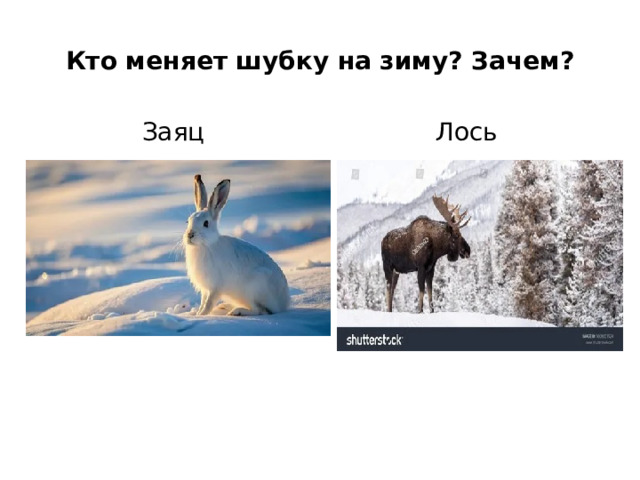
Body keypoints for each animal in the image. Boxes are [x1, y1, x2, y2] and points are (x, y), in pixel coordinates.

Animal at [183, 174, 291, 316]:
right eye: (188, 221)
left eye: (206, 223)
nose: (190, 235)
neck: (206, 245)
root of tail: (283, 304)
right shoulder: (205, 289)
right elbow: (203, 302)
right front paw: (196, 314)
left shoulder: (215, 288)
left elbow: (208, 303)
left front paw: (201, 315)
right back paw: (225, 307)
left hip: (253, 288)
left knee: (259, 311)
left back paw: (236, 312)